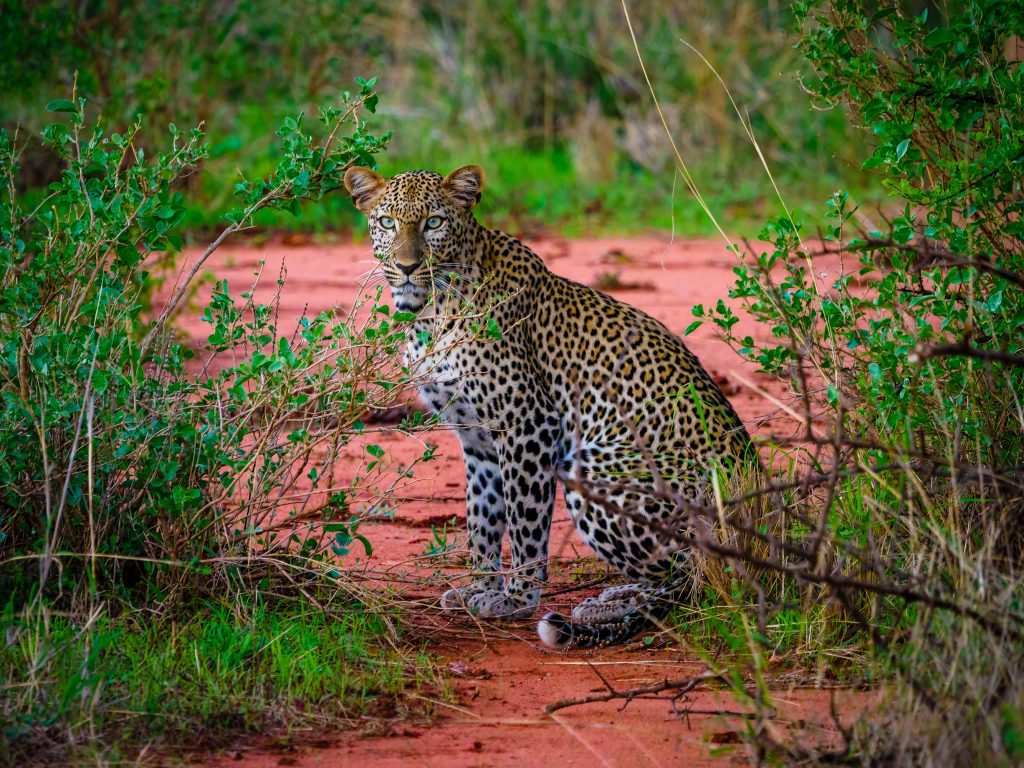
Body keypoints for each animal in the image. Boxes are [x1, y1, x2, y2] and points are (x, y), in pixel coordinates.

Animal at [343, 164, 756, 649]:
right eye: (387, 223)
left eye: (433, 222)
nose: (408, 267)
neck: (430, 313)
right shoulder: (477, 439)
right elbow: (482, 518)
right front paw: (479, 587)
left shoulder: (528, 424)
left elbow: (525, 519)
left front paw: (516, 597)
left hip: (597, 469)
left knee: (694, 577)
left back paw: (609, 605)